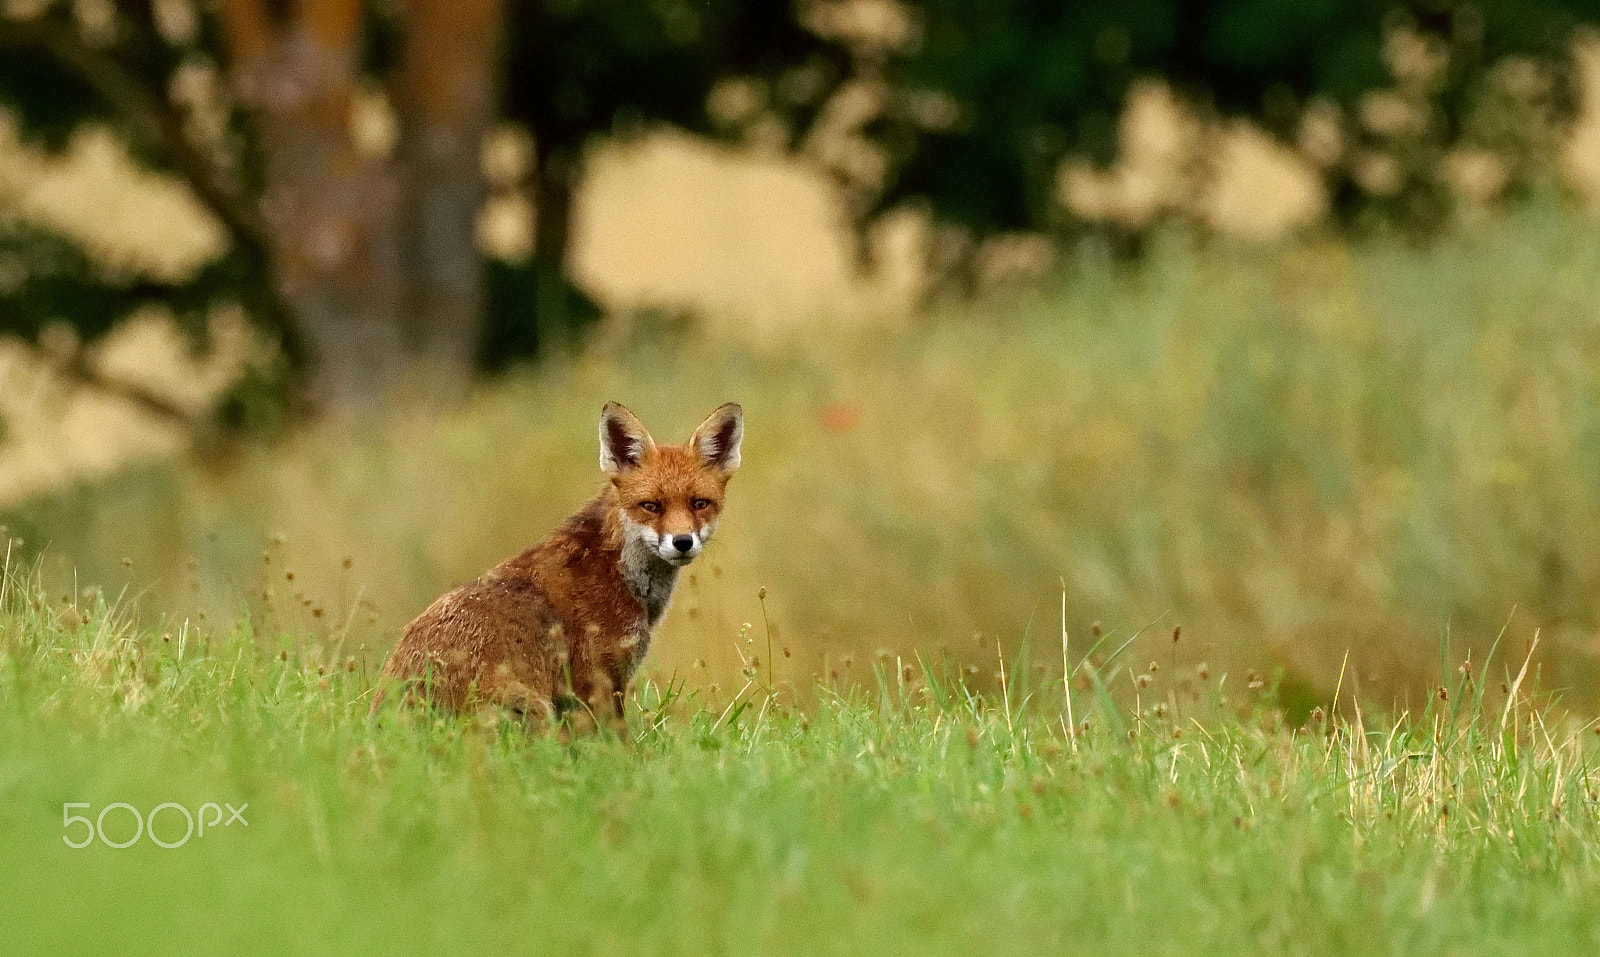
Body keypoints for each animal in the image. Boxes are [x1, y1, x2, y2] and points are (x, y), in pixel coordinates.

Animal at [370, 401, 743, 732]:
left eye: (699, 504)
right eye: (651, 505)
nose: (682, 541)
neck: (618, 572)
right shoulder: (596, 682)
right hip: (532, 709)